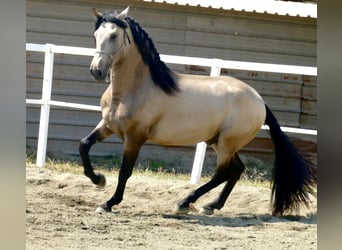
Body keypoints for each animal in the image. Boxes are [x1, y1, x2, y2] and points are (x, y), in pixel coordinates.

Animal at [79, 6, 316, 216]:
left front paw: (108, 203)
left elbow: (124, 171)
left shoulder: (135, 137)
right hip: (219, 142)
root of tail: (259, 100)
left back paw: (184, 203)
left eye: (114, 35)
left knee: (222, 173)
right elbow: (84, 145)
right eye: (96, 34)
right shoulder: (107, 126)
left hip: (226, 144)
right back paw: (211, 206)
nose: (96, 71)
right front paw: (98, 179)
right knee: (237, 170)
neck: (136, 89)